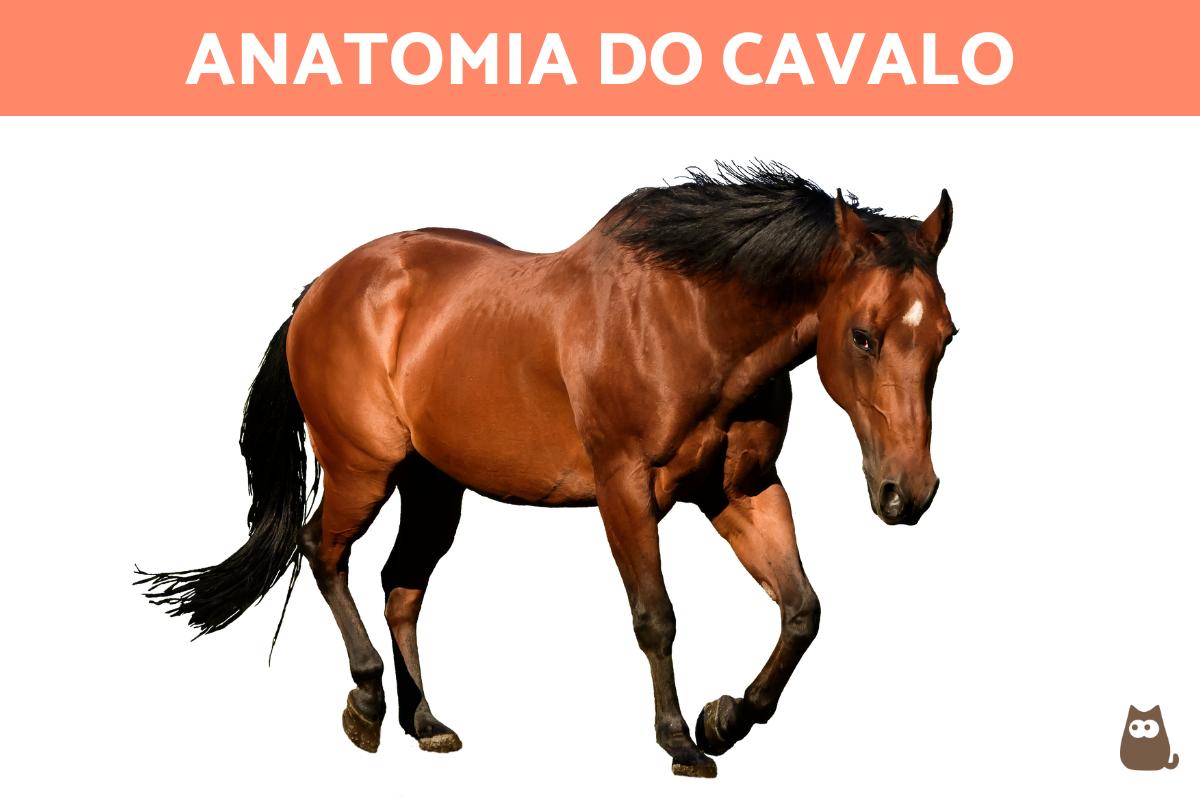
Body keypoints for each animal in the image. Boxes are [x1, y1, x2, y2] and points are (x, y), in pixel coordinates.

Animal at [137, 162, 957, 779]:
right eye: (863, 336)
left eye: (946, 335)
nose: (908, 493)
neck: (691, 319)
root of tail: (318, 291)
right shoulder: (626, 490)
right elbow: (656, 616)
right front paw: (680, 741)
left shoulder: (742, 492)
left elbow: (801, 610)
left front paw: (725, 717)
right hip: (362, 469)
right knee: (323, 550)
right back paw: (365, 705)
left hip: (433, 485)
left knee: (402, 585)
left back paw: (424, 721)